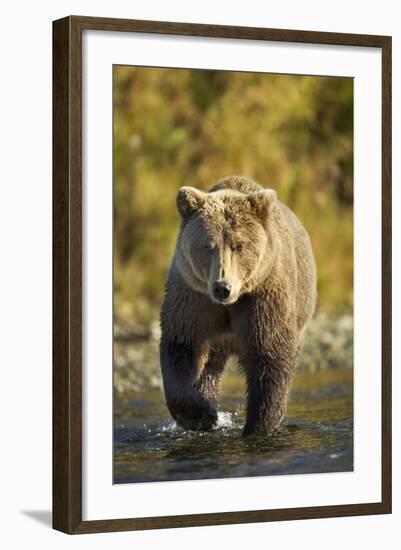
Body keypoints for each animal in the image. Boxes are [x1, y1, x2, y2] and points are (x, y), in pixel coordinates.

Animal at [159, 176, 316, 436]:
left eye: (239, 246)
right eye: (208, 246)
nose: (222, 287)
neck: (230, 304)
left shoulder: (262, 297)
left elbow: (269, 356)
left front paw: (258, 426)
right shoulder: (193, 297)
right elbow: (182, 346)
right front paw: (202, 415)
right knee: (210, 367)